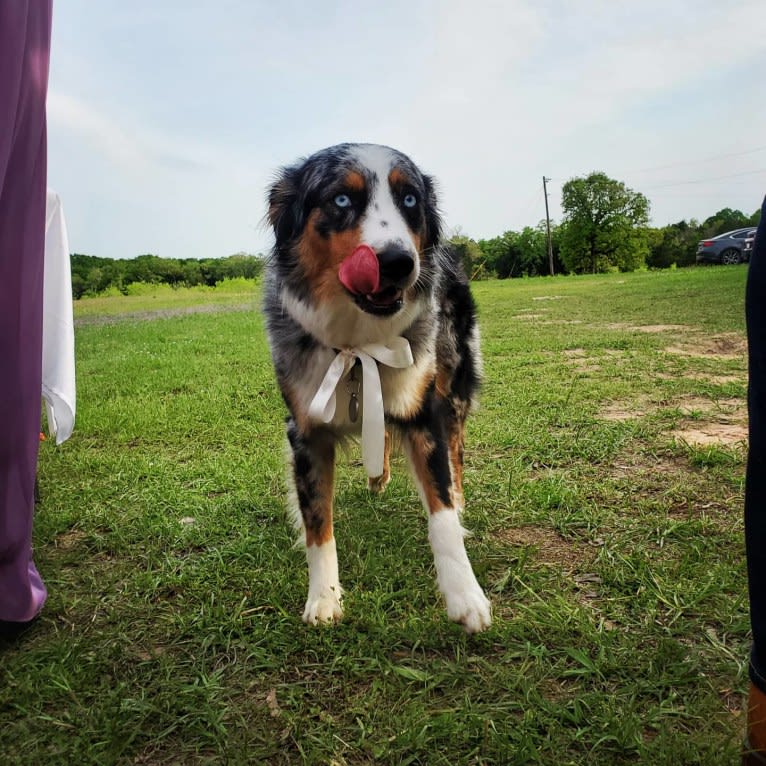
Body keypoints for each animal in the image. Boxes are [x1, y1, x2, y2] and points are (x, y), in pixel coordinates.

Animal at [264, 144, 492, 636]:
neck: (358, 343)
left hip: (455, 380)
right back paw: (377, 475)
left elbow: (442, 513)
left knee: (457, 448)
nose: (397, 262)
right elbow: (317, 523)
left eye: (409, 200)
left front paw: (465, 596)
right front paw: (324, 597)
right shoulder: (306, 431)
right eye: (341, 200)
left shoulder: (424, 412)